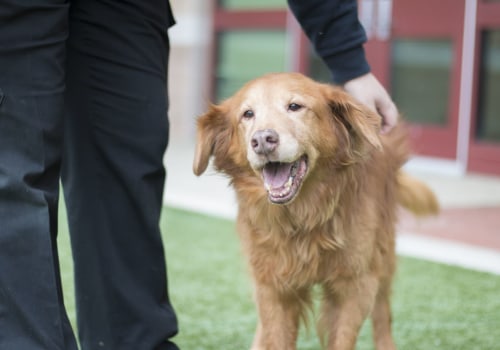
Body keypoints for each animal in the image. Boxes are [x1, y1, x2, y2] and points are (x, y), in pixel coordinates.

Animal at [191, 72, 438, 348]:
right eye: (248, 114)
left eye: (295, 106)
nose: (262, 140)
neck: (303, 215)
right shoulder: (273, 284)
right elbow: (275, 334)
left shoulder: (355, 284)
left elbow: (343, 337)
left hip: (382, 253)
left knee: (383, 311)